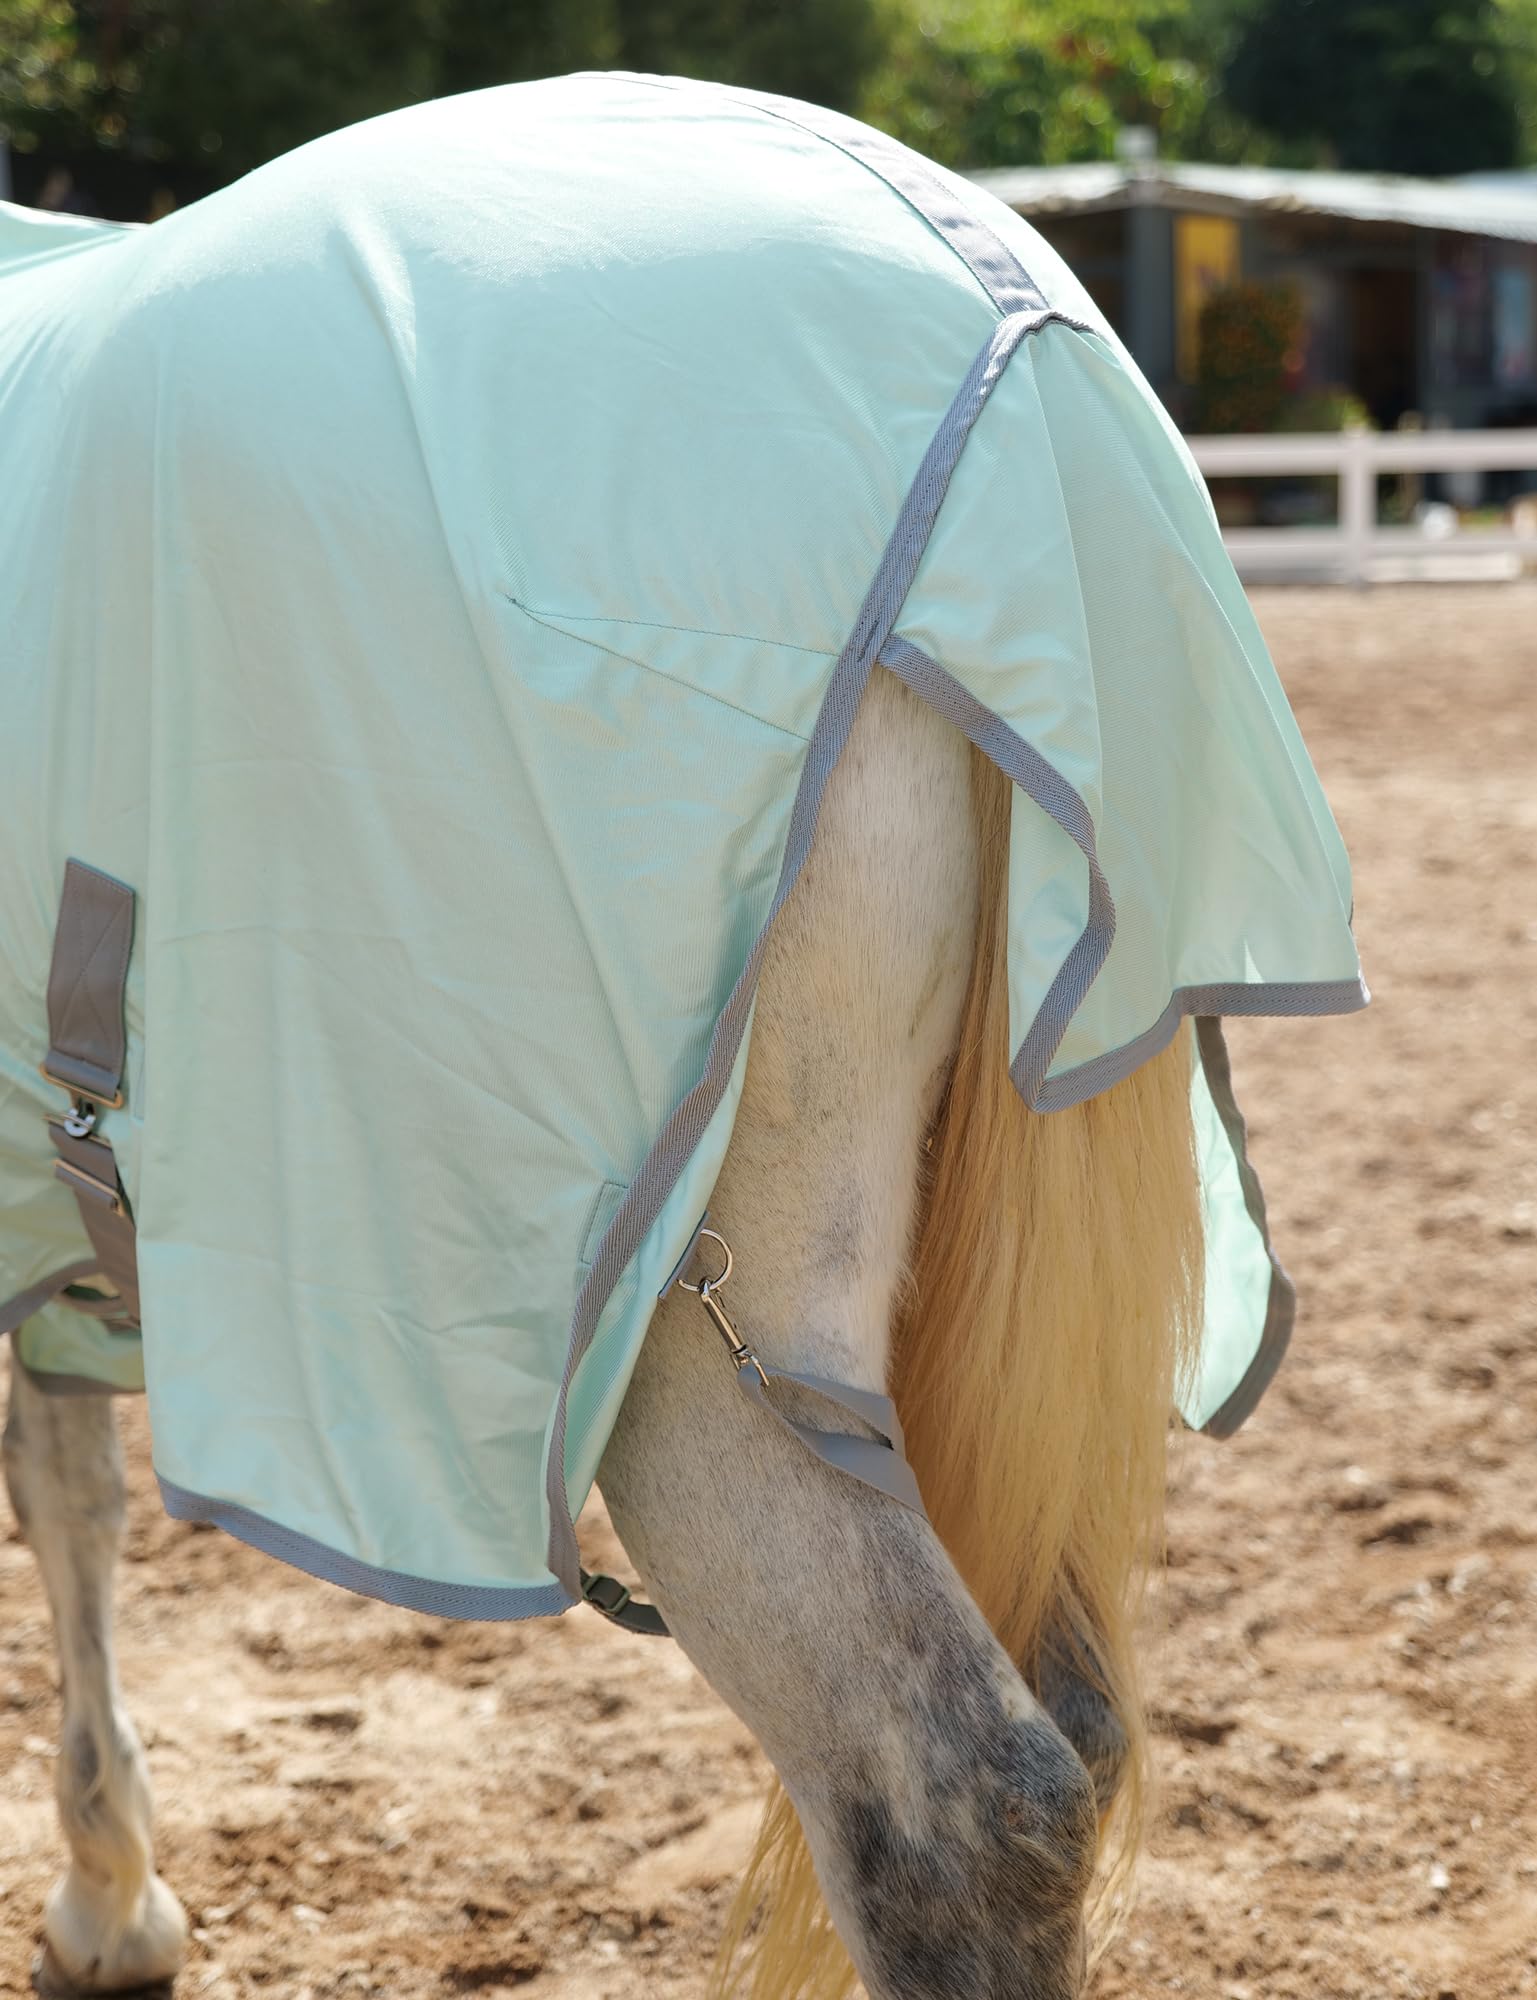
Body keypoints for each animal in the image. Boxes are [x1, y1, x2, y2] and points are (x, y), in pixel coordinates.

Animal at [1, 72, 1364, 1999]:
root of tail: (1010, 344)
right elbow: (70, 1485)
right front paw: (113, 1892)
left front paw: (107, 1894)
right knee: (1078, 1727)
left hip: (683, 1334)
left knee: (957, 1794)